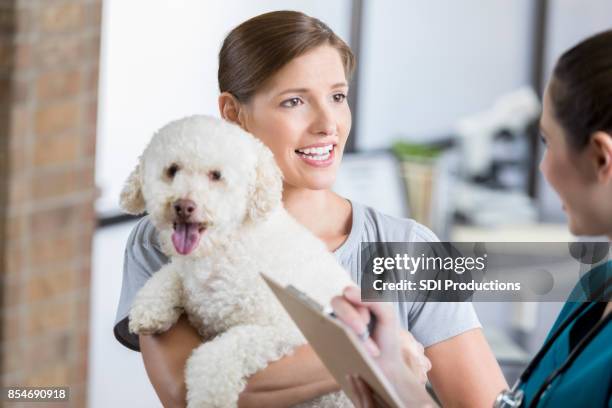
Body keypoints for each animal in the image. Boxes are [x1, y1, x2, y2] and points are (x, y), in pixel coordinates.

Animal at [120, 115, 354, 408]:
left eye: (216, 175)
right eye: (172, 170)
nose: (184, 206)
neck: (225, 248)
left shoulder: (287, 329)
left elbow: (218, 353)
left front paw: (209, 398)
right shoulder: (187, 271)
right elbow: (168, 273)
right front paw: (150, 309)